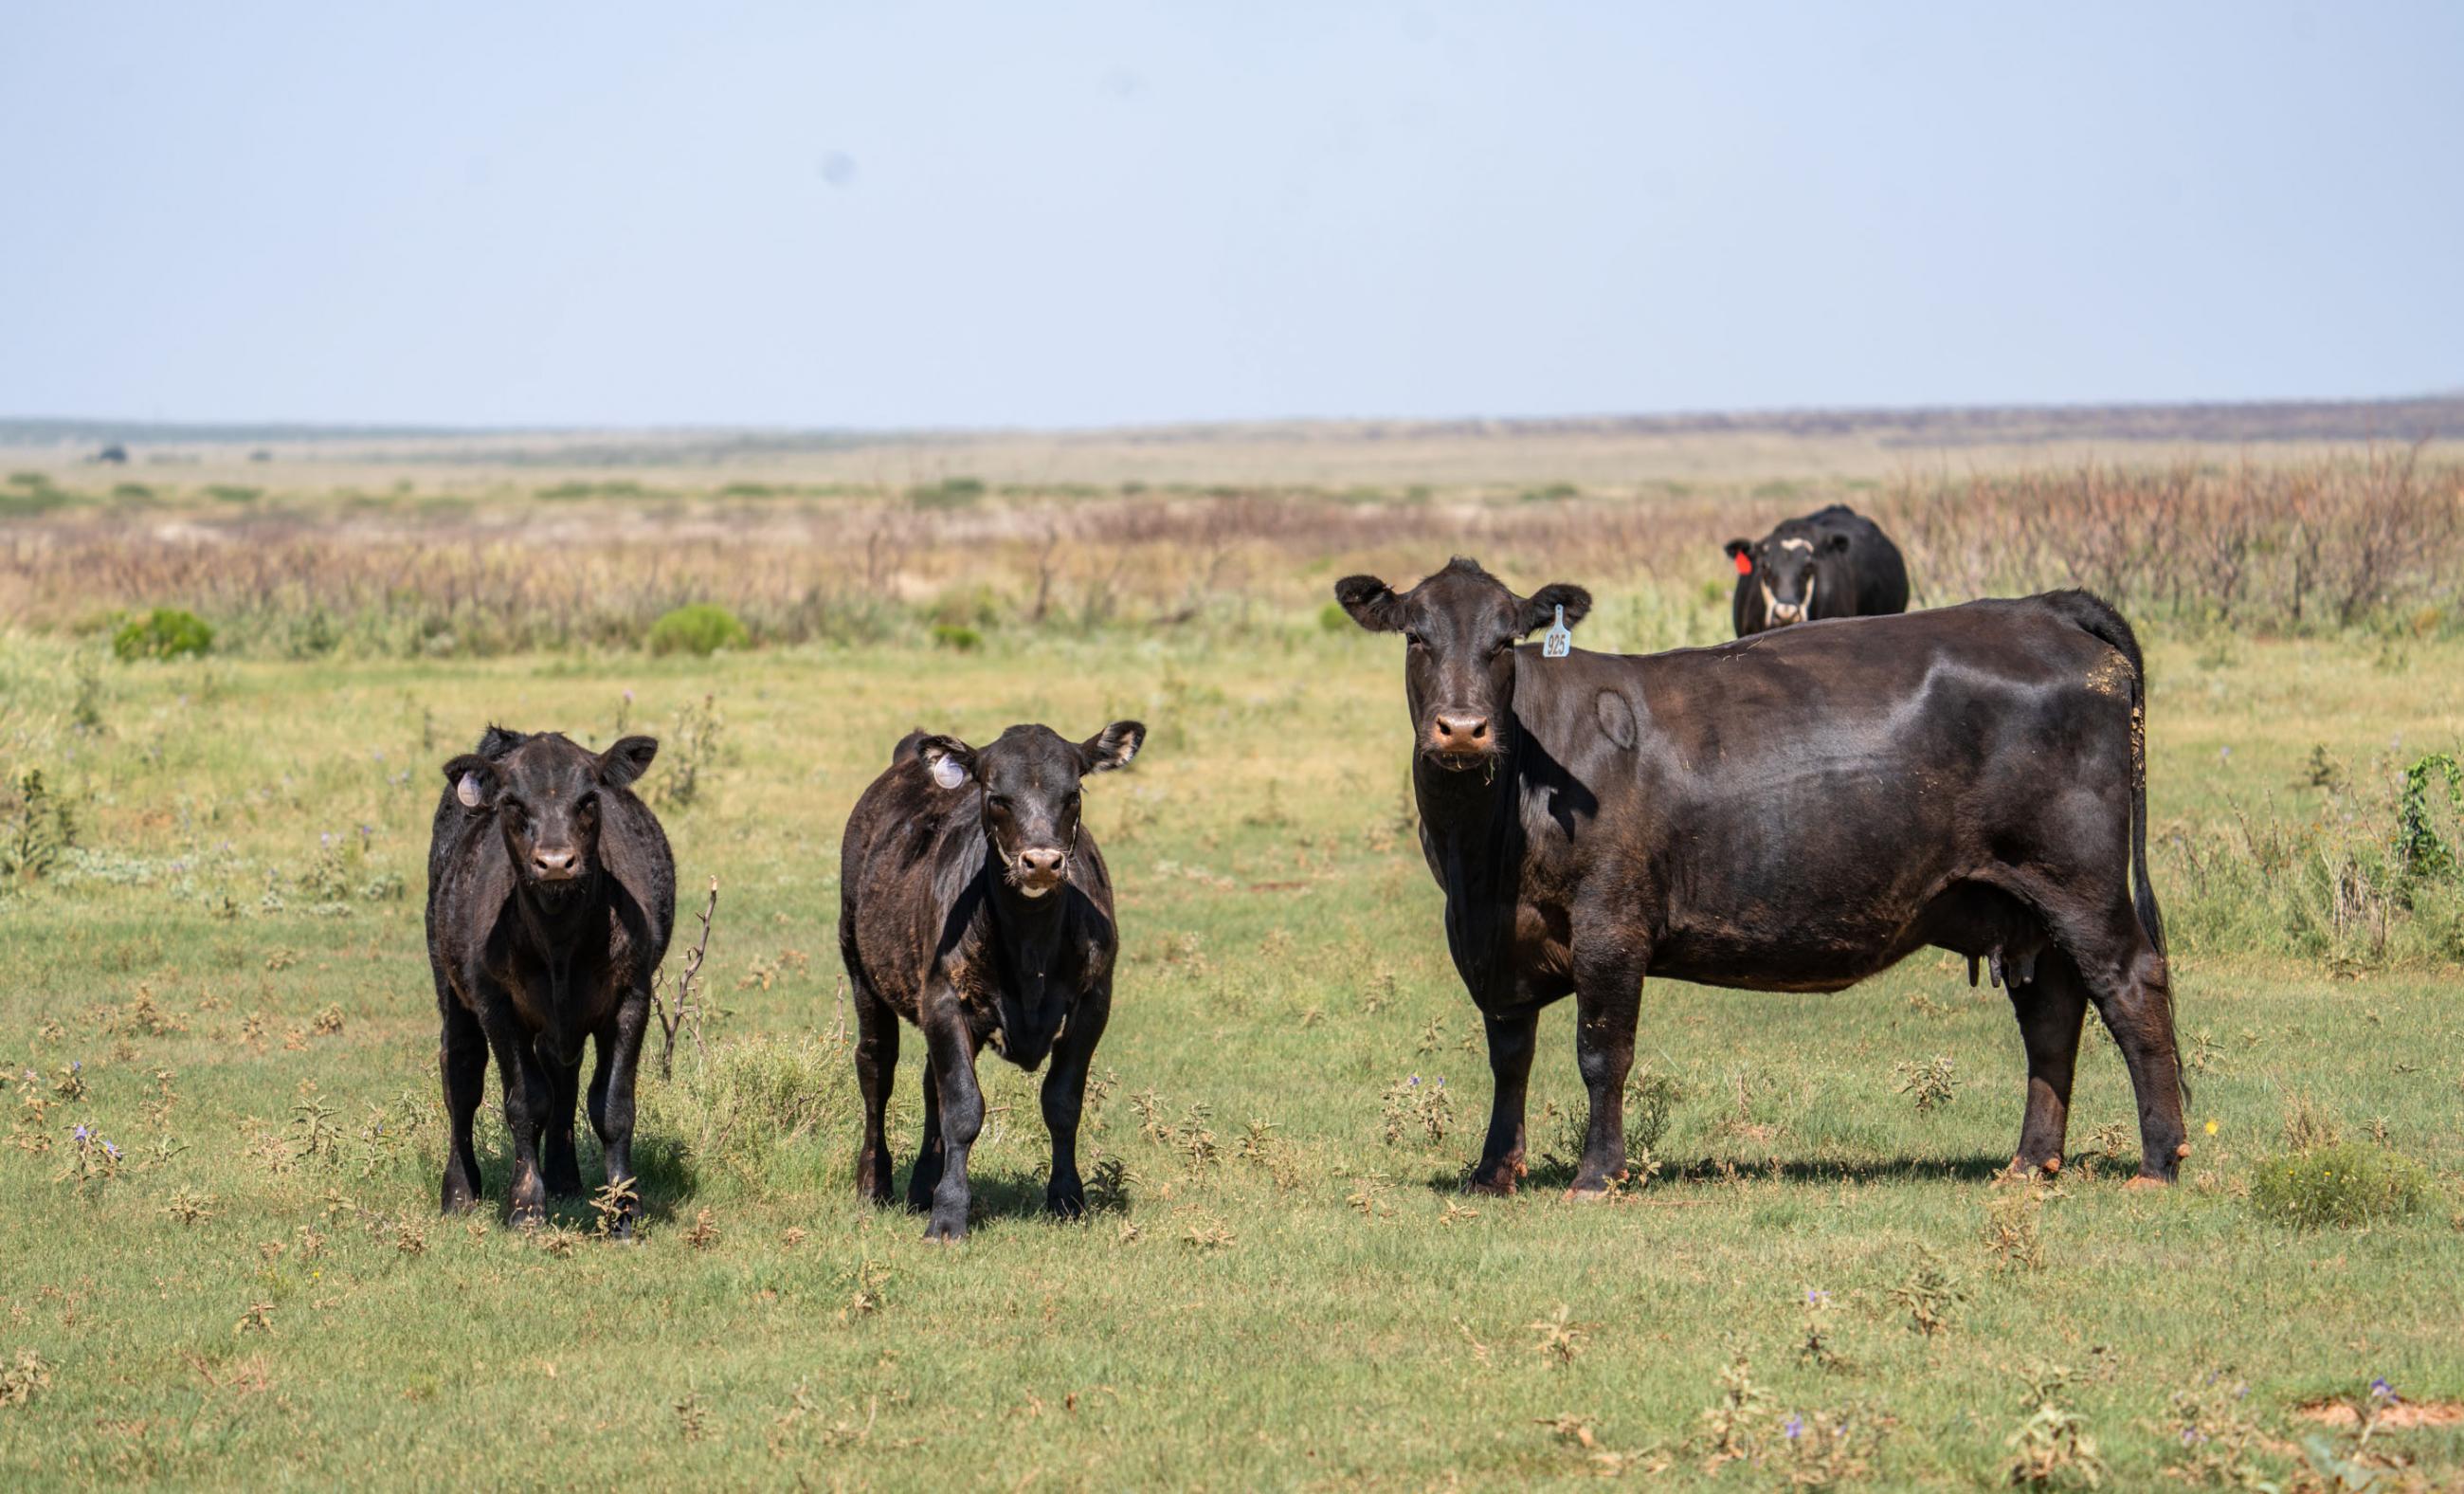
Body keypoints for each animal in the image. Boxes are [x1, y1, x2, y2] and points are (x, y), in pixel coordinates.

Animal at [426, 727, 674, 1232]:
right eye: (513, 803)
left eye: (589, 798)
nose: (556, 862)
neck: (559, 944)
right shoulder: (497, 1004)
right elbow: (525, 1102)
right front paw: (525, 1205)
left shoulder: (632, 996)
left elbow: (612, 1106)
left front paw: (622, 1209)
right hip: (450, 984)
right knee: (461, 1074)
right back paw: (460, 1193)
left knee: (563, 1074)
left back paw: (564, 1179)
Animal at [839, 720, 1146, 1241]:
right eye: (995, 794)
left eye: (1074, 793)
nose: (1041, 862)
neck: (1032, 951)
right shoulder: (944, 998)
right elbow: (964, 1107)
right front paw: (948, 1216)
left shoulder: (1093, 1002)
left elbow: (1062, 1102)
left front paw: (1067, 1200)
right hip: (861, 970)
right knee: (877, 1068)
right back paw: (874, 1183)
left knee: (930, 1082)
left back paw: (922, 1186)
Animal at [1332, 558, 2186, 1198]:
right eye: (1416, 636)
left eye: (1506, 640)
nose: (1463, 729)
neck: (1486, 850)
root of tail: (2042, 608)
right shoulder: (1492, 940)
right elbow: (1510, 1058)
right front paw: (1491, 1172)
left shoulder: (1611, 924)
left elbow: (1602, 1053)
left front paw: (1597, 1175)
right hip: (2022, 902)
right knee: (2052, 1014)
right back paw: (2029, 1163)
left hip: (2079, 882)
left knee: (2131, 987)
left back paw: (2159, 1162)